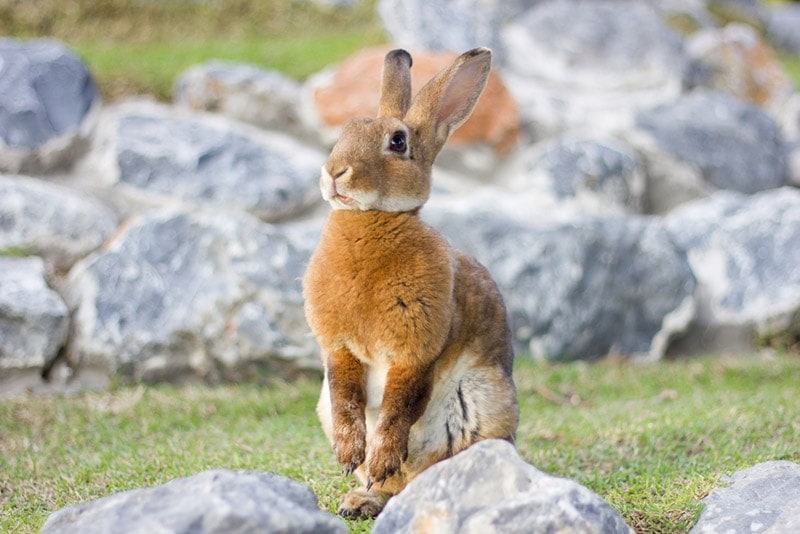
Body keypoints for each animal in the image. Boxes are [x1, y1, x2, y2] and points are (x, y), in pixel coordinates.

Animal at [302, 47, 519, 519]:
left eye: (398, 143)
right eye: (343, 132)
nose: (334, 172)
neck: (372, 219)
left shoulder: (416, 350)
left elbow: (400, 406)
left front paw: (379, 456)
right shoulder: (340, 348)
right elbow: (346, 397)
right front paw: (349, 457)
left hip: (482, 410)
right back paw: (361, 498)